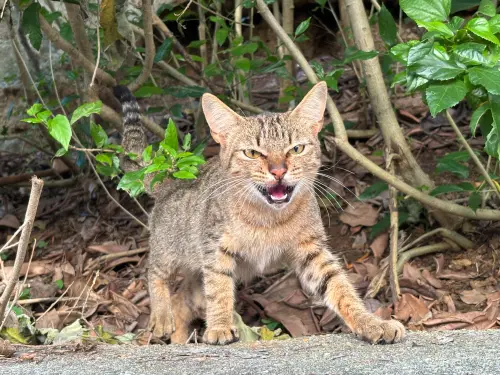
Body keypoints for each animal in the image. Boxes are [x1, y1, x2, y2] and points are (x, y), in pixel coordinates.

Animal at [111, 83, 404, 346]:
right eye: (252, 153)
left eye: (296, 149)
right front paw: (219, 325)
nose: (278, 171)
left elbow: (340, 287)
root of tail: (169, 180)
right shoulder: (215, 250)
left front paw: (370, 322)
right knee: (154, 273)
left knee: (184, 299)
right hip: (171, 250)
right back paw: (162, 317)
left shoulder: (311, 250)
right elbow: (219, 289)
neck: (270, 219)